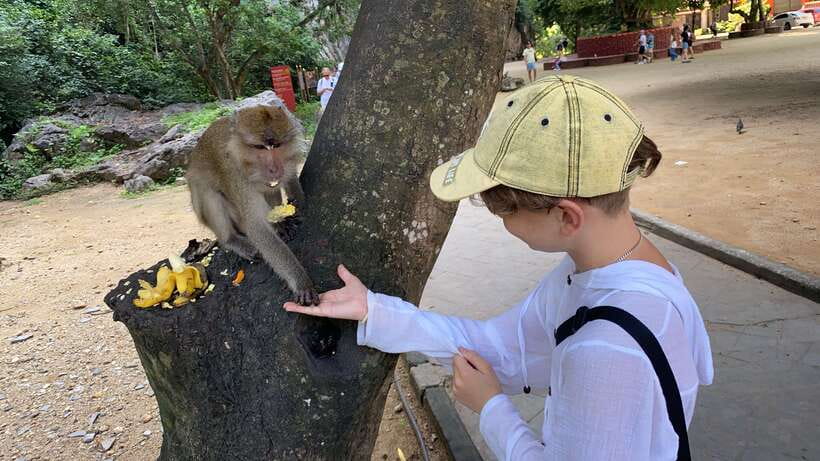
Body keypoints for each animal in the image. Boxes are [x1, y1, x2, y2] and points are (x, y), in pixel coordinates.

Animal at [185, 102, 318, 306]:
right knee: (209, 193)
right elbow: (256, 227)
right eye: (259, 147)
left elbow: (285, 182)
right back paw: (231, 239)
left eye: (277, 146)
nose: (274, 169)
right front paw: (301, 281)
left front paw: (291, 209)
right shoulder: (238, 177)